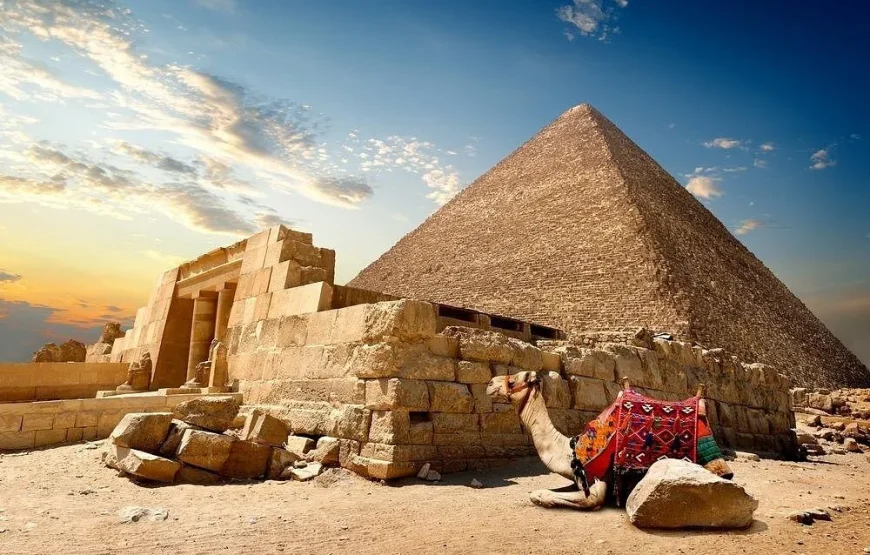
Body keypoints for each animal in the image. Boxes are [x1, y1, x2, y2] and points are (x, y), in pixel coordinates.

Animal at [486, 370, 732, 510]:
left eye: (513, 380)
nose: (489, 383)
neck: (570, 450)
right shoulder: (578, 477)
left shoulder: (597, 482)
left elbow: (547, 495)